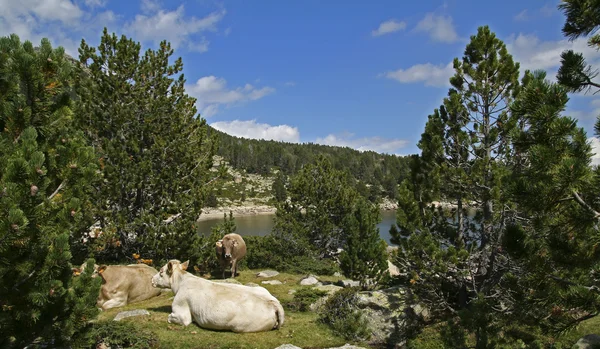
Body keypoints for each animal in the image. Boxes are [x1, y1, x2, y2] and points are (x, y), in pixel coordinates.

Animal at [151, 258, 284, 332]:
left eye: (161, 272)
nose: (151, 279)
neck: (180, 282)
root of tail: (274, 304)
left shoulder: (181, 312)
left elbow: (171, 317)